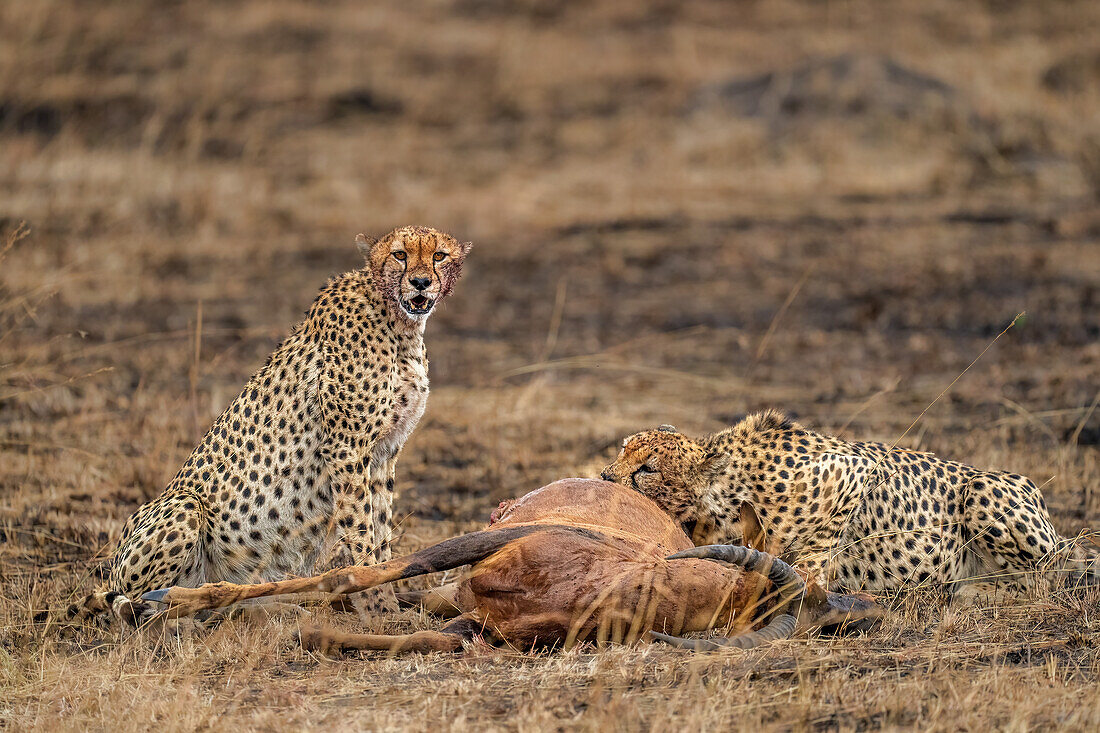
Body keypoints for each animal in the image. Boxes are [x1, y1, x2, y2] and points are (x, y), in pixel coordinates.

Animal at [56, 222, 468, 620]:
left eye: (439, 255)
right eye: (399, 255)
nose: (420, 282)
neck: (400, 325)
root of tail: (113, 570)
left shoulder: (383, 452)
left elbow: (380, 530)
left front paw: (387, 602)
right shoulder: (347, 448)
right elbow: (362, 531)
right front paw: (380, 610)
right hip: (184, 507)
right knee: (144, 609)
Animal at [607, 407, 1095, 589]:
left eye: (647, 469)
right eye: (621, 449)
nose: (605, 477)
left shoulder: (854, 469)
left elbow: (817, 544)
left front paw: (808, 576)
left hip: (981, 491)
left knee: (1055, 569)